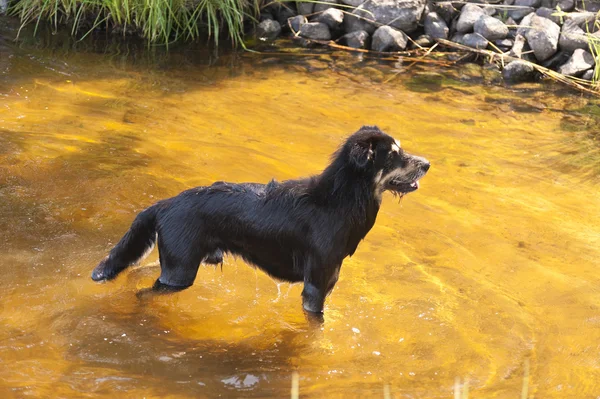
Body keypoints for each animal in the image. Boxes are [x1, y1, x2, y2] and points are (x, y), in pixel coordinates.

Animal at [91, 126, 428, 318]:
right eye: (393, 155)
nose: (427, 164)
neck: (338, 200)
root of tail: (165, 203)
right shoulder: (316, 285)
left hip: (188, 261)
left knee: (140, 270)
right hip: (182, 270)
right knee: (144, 291)